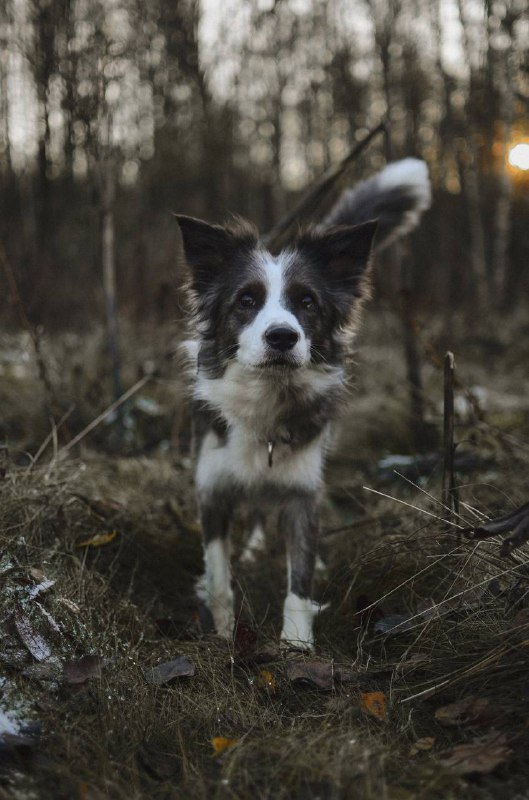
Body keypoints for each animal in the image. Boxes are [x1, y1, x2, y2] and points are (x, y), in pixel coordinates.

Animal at [177, 158, 428, 648]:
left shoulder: (301, 491)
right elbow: (217, 577)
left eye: (307, 303)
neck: (268, 395)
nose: (282, 336)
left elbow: (300, 578)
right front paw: (223, 632)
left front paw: (296, 644)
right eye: (246, 300)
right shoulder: (212, 488)